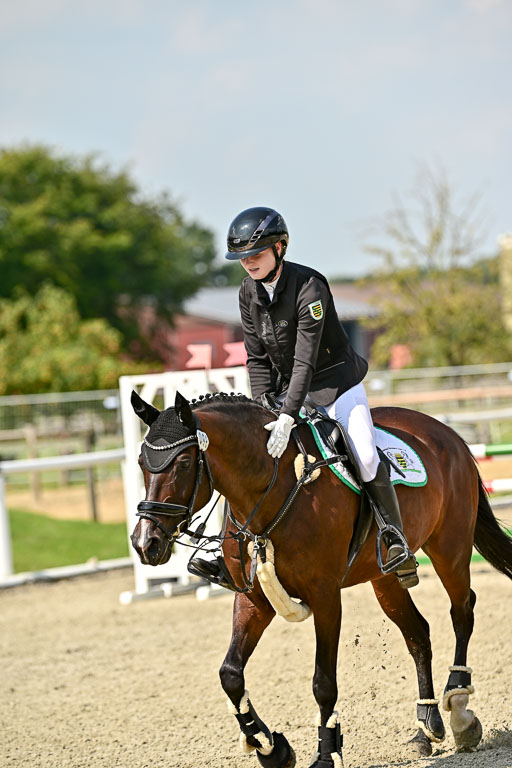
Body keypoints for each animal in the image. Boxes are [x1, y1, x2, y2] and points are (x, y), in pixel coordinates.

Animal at [129, 389, 512, 768]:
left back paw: (459, 711)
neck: (271, 490)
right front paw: (271, 748)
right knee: (418, 633)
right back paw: (425, 728)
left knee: (462, 612)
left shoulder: (326, 597)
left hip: (450, 549)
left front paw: (326, 753)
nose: (145, 543)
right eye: (141, 464)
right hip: (384, 579)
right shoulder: (253, 600)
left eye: (182, 463)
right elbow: (230, 675)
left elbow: (323, 682)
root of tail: (447, 434)